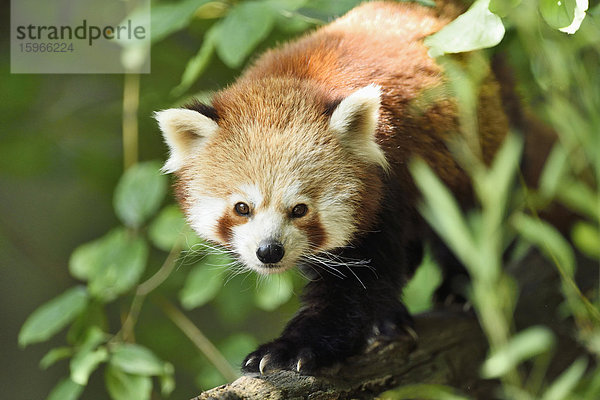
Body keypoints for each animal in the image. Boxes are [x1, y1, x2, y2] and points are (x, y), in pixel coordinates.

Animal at [157, 0, 512, 376]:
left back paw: (460, 289)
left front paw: (290, 348)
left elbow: (355, 287)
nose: (269, 251)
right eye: (242, 207)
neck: (298, 78)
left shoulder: (387, 191)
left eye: (299, 209)